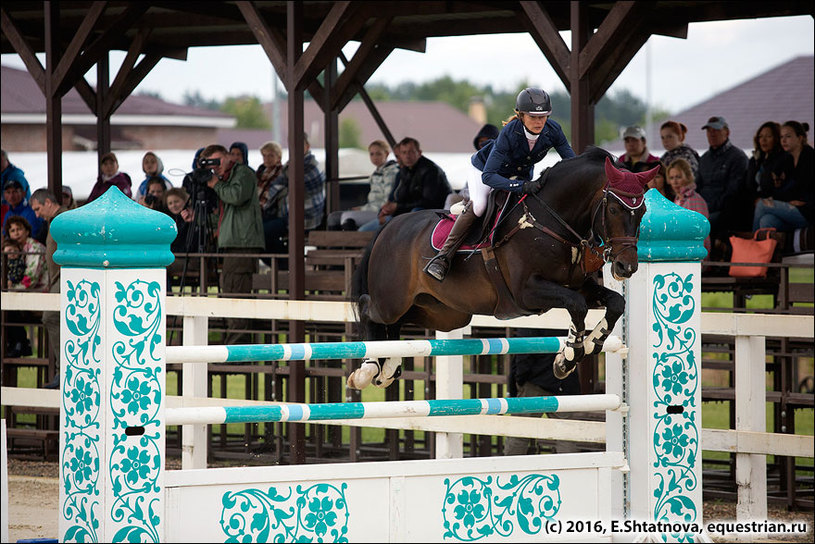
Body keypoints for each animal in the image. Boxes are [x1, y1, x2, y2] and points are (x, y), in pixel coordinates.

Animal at [348, 147, 660, 388]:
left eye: (643, 212)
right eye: (614, 209)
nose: (626, 266)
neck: (550, 220)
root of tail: (390, 226)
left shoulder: (579, 286)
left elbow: (614, 303)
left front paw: (581, 349)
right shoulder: (527, 292)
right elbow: (577, 305)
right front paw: (570, 356)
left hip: (443, 312)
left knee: (396, 324)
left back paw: (389, 367)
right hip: (393, 300)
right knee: (369, 309)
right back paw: (367, 370)